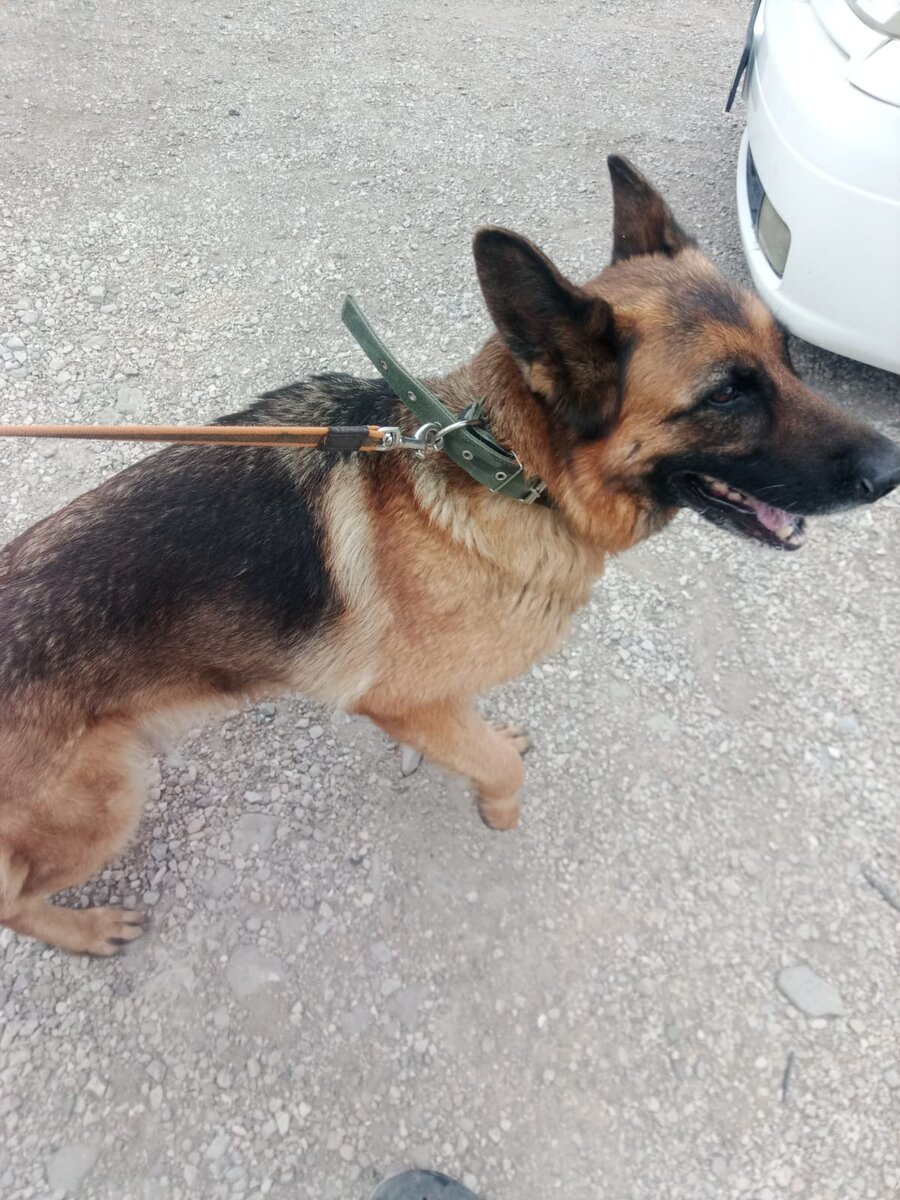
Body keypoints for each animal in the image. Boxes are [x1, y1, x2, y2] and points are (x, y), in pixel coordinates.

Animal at [2, 156, 899, 956]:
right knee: (15, 899)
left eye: (786, 357)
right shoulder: (398, 702)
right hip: (109, 801)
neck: (513, 472)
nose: (890, 469)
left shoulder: (438, 698)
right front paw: (497, 807)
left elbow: (478, 733)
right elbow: (498, 766)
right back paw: (85, 931)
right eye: (726, 395)